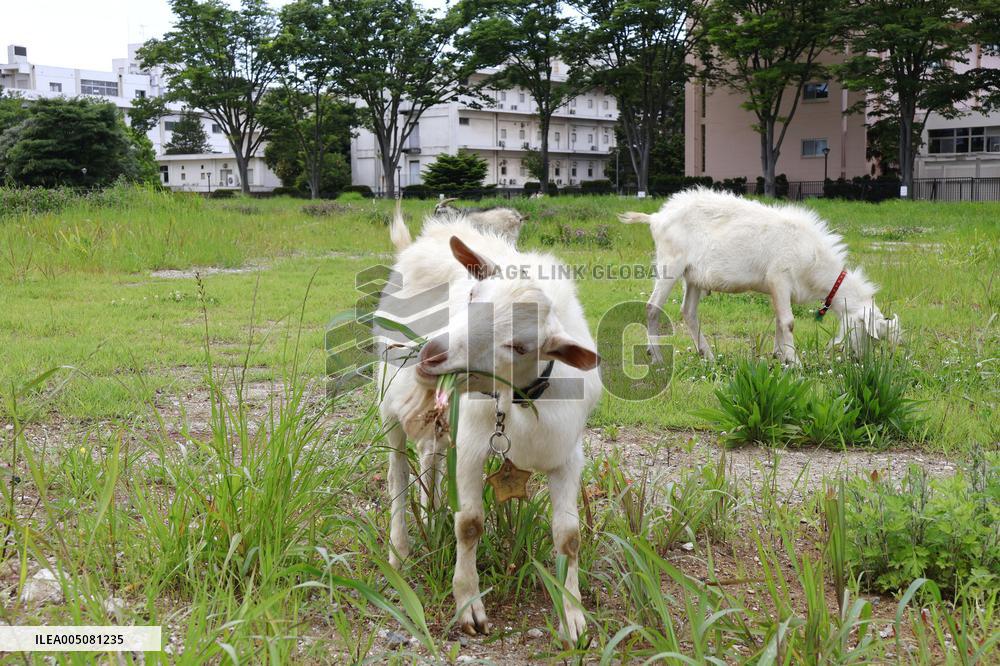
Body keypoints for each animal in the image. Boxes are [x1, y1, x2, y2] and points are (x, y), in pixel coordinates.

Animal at [375, 206, 601, 641]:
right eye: (471, 296)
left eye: (519, 346)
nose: (431, 355)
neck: (519, 402)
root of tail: (426, 239)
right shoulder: (472, 446)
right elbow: (469, 524)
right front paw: (469, 606)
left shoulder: (567, 455)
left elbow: (570, 537)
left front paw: (574, 615)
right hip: (391, 400)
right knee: (397, 470)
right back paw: (399, 551)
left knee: (430, 454)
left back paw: (431, 512)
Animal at [620, 188, 900, 365]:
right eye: (870, 336)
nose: (860, 360)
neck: (813, 259)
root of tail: (657, 218)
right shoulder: (780, 278)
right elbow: (788, 322)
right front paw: (795, 362)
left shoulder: (780, 289)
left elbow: (778, 320)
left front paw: (779, 356)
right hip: (670, 264)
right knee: (652, 307)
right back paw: (656, 357)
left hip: (694, 276)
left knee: (688, 312)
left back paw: (707, 355)